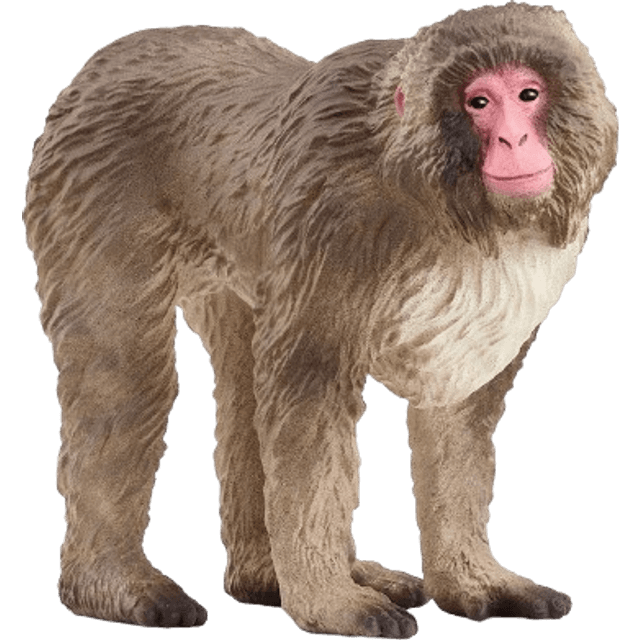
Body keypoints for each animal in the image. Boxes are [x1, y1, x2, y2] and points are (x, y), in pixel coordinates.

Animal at [23, 2, 618, 638]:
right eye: (480, 102)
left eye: (528, 93)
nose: (514, 137)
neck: (441, 197)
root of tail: (103, 63)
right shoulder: (334, 214)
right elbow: (309, 388)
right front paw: (330, 600)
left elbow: (454, 410)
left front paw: (471, 576)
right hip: (86, 180)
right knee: (124, 373)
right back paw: (111, 585)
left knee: (242, 376)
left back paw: (265, 576)